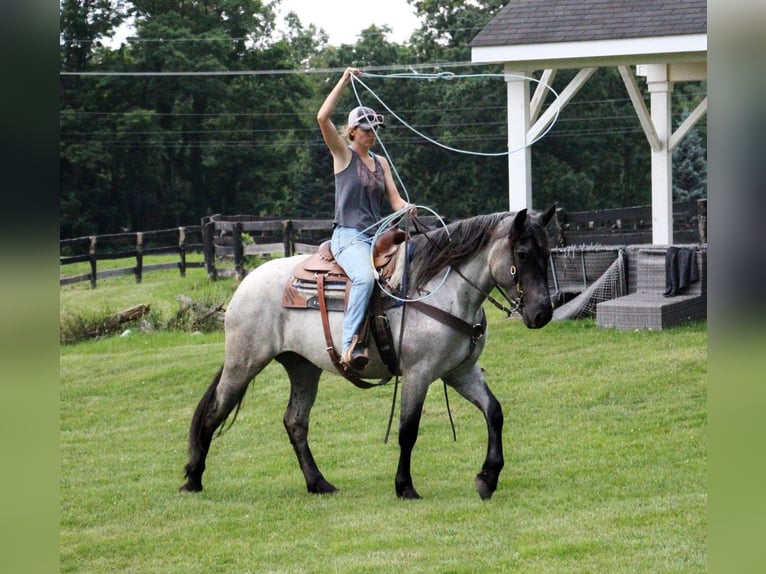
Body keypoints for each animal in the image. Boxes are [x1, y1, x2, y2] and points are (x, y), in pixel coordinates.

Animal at [182, 207, 556, 500]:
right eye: (523, 254)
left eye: (548, 252)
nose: (542, 313)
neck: (441, 290)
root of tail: (246, 283)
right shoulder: (419, 373)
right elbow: (408, 430)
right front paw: (405, 487)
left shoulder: (460, 372)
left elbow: (494, 412)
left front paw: (487, 478)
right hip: (244, 362)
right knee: (214, 412)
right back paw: (192, 480)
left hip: (303, 367)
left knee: (295, 422)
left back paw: (318, 483)